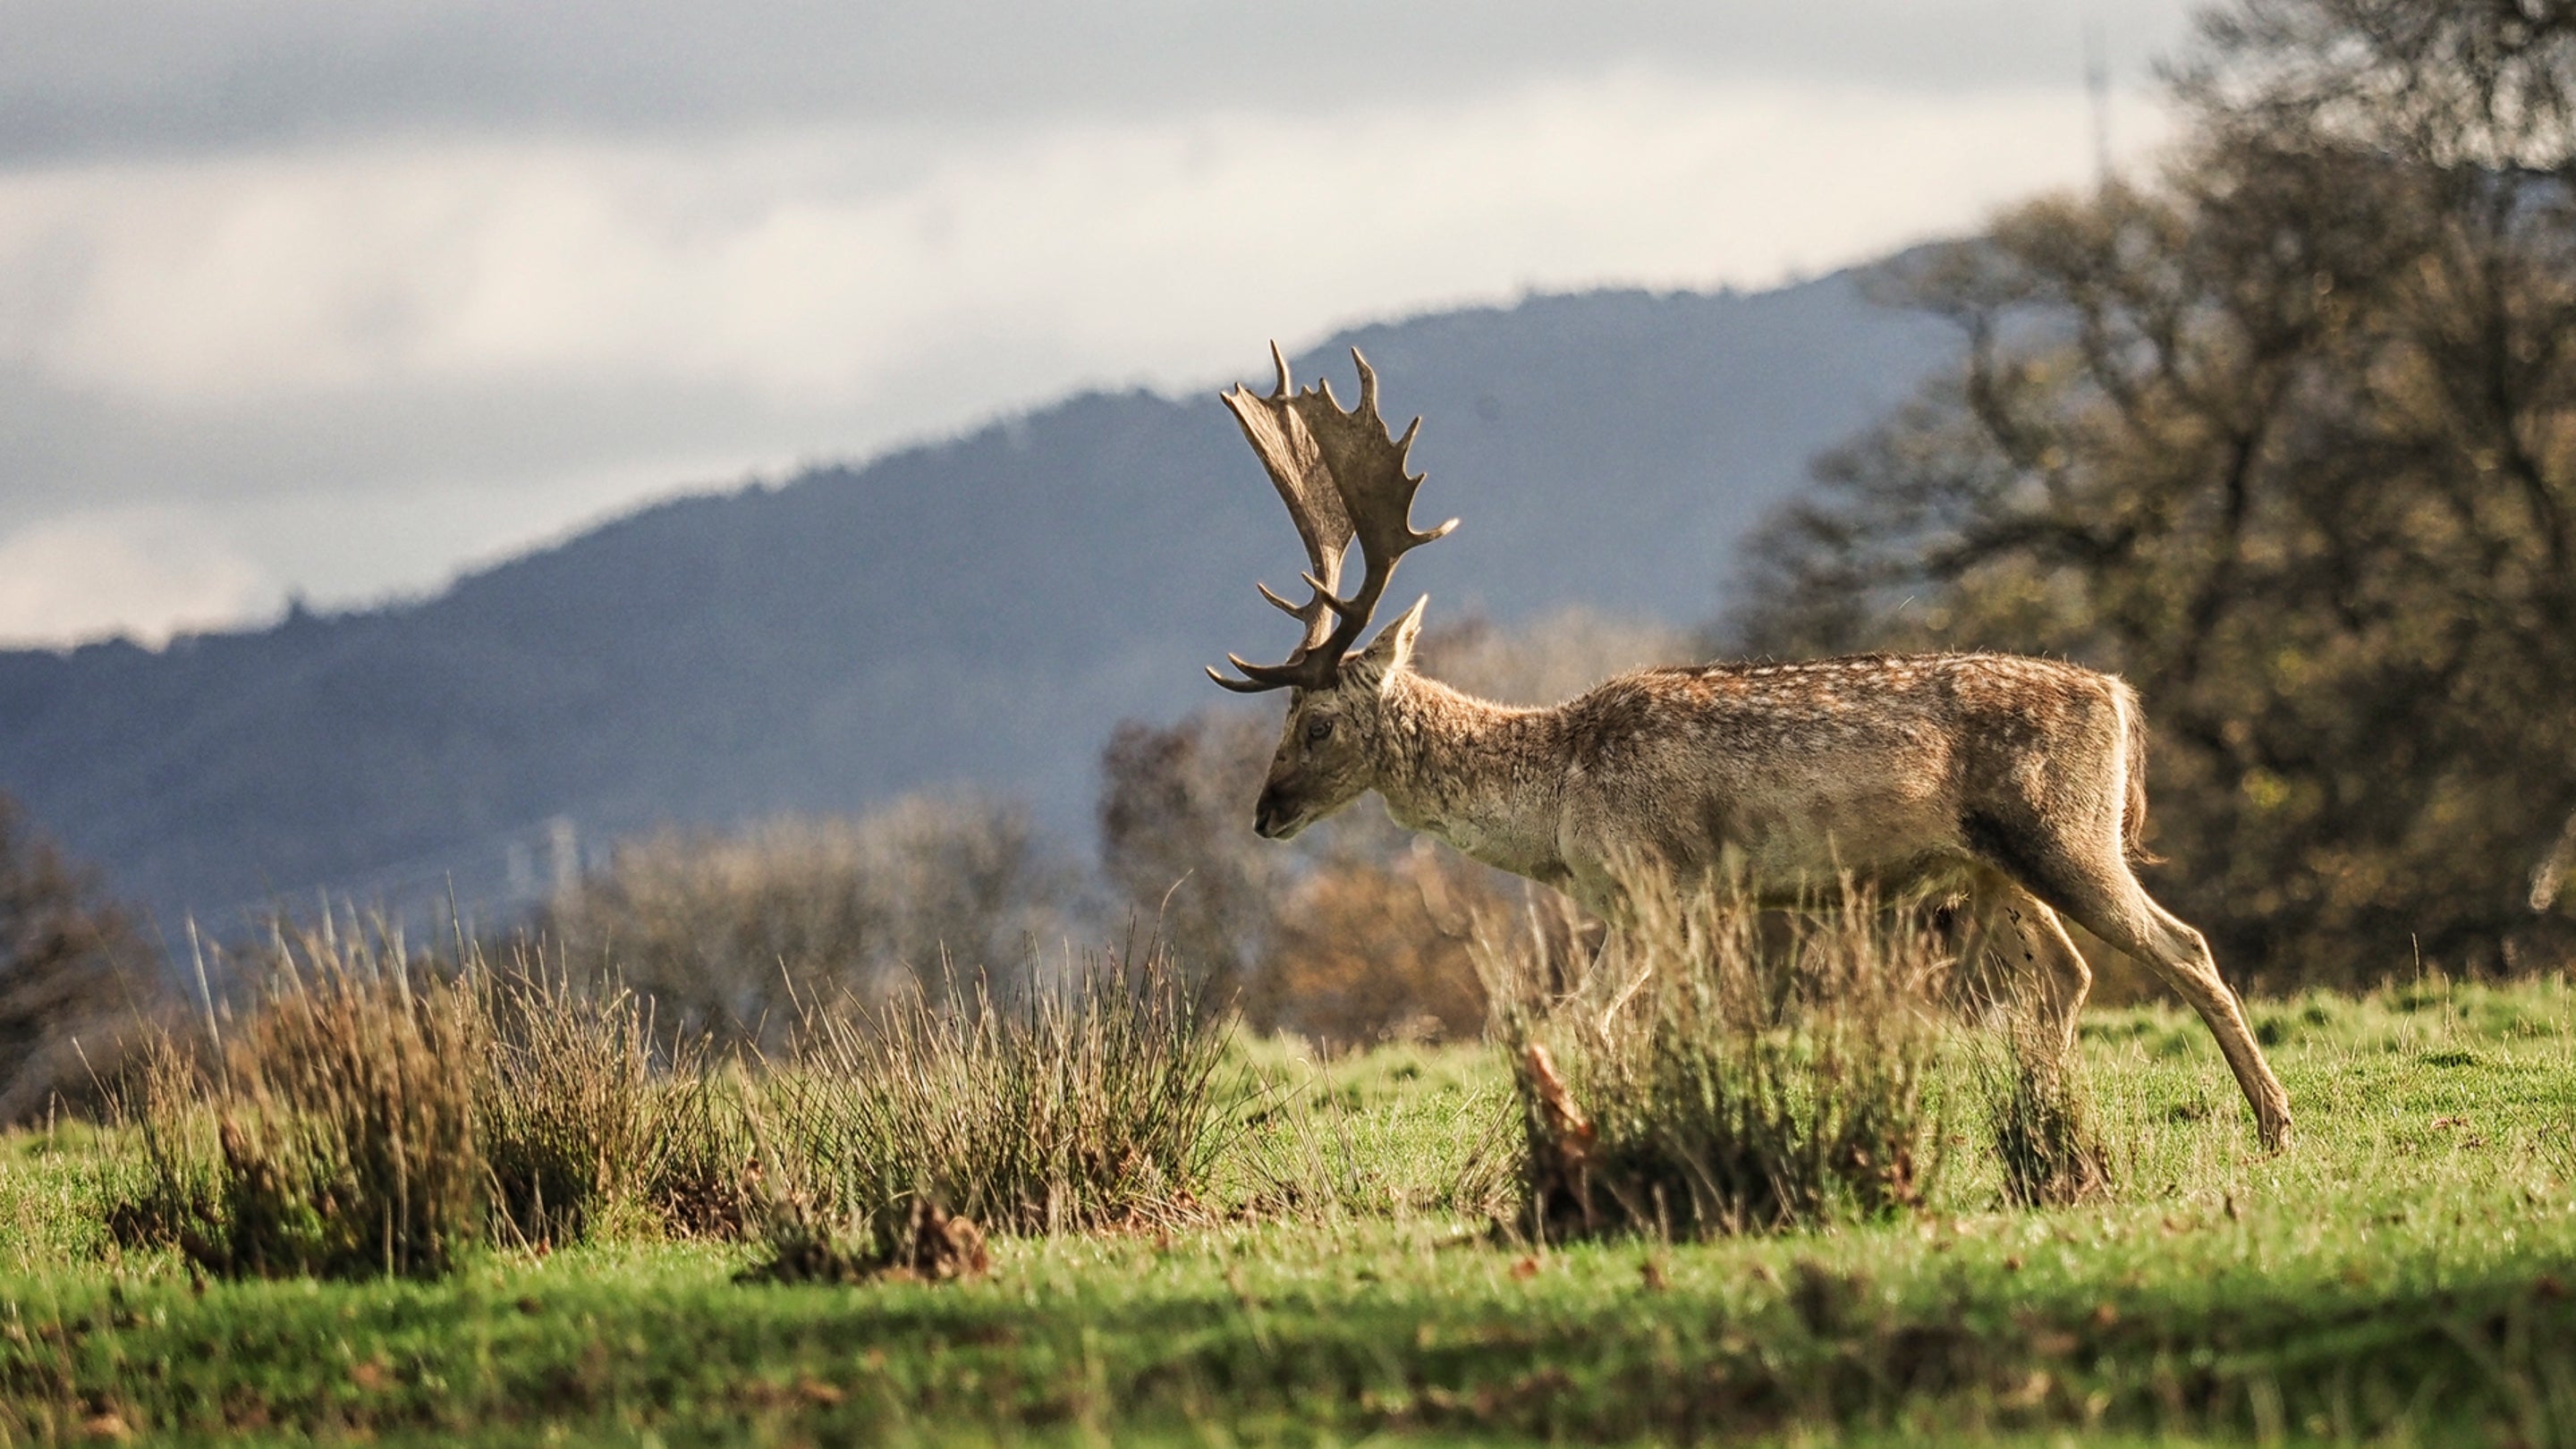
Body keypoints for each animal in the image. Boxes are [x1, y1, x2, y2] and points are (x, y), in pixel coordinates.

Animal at [1205, 344, 2293, 1151]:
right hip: (1994, 866)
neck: (1557, 809)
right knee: (2067, 975)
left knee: (2183, 947)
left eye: (1315, 722)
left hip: (2065, 834)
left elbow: (1593, 1023)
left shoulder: (1664, 883)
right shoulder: (1648, 905)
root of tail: (2119, 696)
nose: (1263, 814)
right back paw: (2043, 1122)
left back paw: (2272, 1125)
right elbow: (1594, 1022)